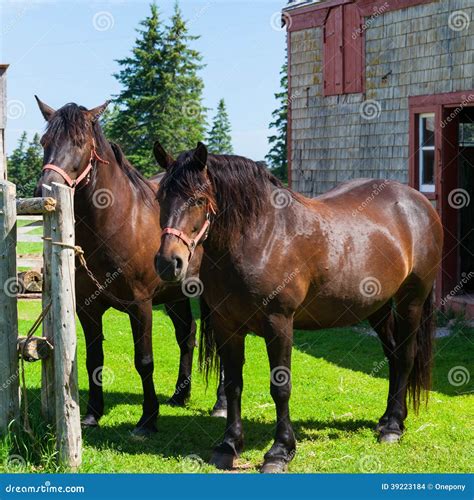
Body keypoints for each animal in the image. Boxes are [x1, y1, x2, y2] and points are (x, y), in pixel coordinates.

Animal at [33, 99, 226, 436]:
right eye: (45, 142)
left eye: (80, 143)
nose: (44, 189)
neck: (117, 223)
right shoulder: (88, 308)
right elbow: (93, 359)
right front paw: (93, 413)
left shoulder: (141, 304)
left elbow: (144, 361)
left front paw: (148, 419)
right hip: (175, 295)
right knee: (187, 335)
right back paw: (180, 394)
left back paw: (220, 403)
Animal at [155, 142, 444, 472]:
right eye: (160, 197)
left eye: (199, 199)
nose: (168, 263)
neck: (261, 236)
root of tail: (418, 203)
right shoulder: (227, 326)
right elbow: (233, 385)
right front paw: (229, 445)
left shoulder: (278, 323)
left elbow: (280, 387)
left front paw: (280, 451)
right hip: (378, 307)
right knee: (394, 357)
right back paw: (387, 420)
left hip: (411, 301)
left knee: (406, 356)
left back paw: (393, 427)